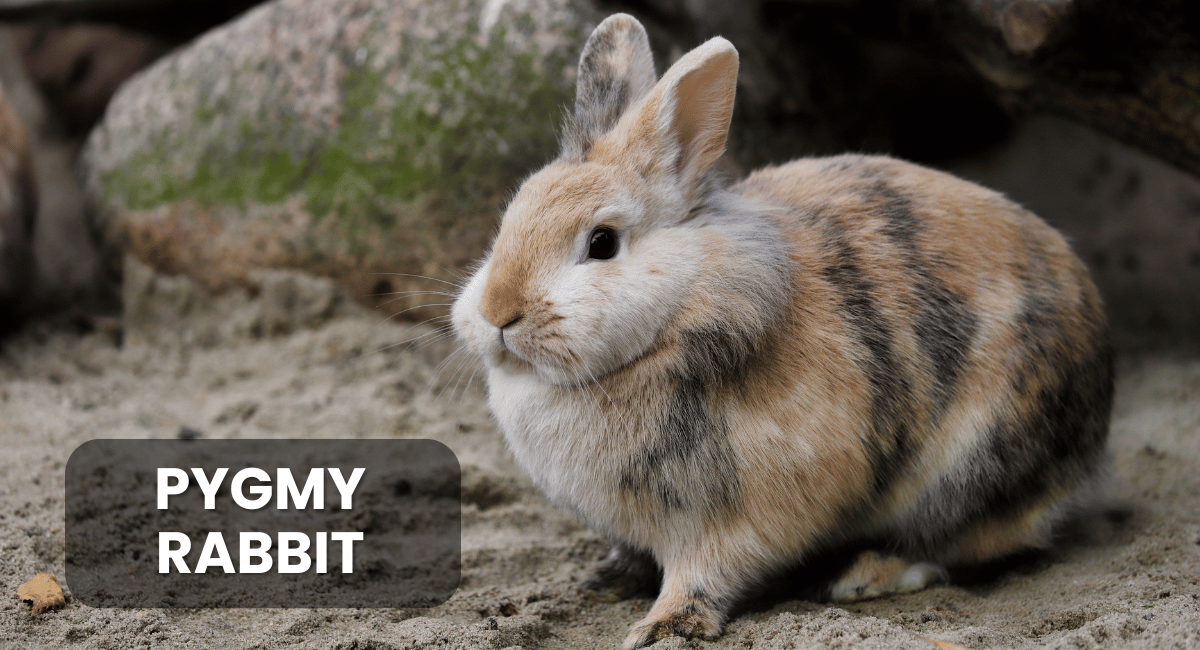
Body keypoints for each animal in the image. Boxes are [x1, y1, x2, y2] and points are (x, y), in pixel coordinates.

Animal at [451, 11, 1113, 650]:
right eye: (510, 216)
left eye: (603, 242)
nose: (498, 312)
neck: (678, 313)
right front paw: (604, 580)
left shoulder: (736, 518)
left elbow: (703, 574)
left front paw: (664, 627)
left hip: (964, 471)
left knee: (952, 543)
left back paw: (861, 575)